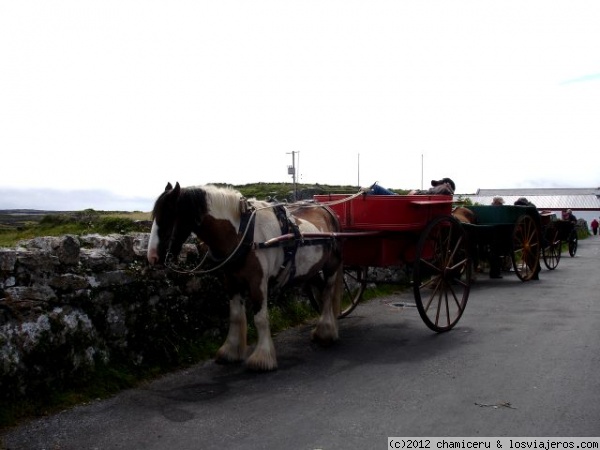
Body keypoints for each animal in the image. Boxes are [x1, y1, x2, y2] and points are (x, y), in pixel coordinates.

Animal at [146, 181, 342, 370]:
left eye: (168, 215)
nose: (152, 257)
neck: (242, 233)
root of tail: (328, 210)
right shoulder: (231, 281)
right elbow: (235, 315)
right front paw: (230, 351)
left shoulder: (258, 282)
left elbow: (260, 318)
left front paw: (262, 358)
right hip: (311, 270)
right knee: (321, 291)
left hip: (331, 266)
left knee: (327, 293)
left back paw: (326, 332)